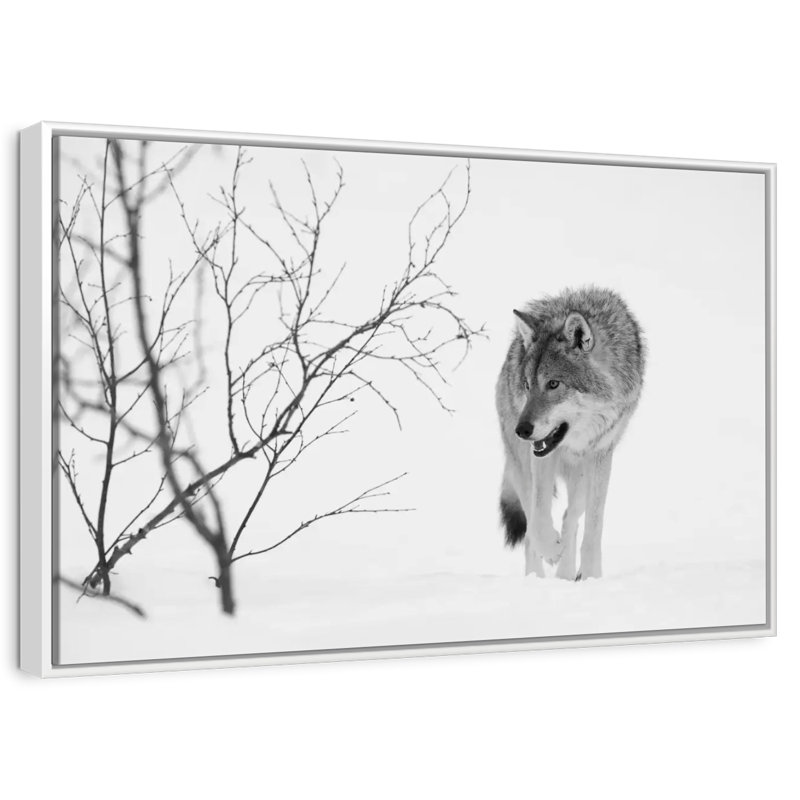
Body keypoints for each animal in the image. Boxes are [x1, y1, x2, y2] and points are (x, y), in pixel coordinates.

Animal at [495, 286, 645, 580]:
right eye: (527, 385)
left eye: (553, 384)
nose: (522, 430)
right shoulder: (540, 457)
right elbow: (539, 516)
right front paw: (551, 550)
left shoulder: (601, 454)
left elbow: (593, 528)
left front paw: (590, 576)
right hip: (521, 467)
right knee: (530, 532)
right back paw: (538, 576)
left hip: (583, 476)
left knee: (570, 518)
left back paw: (565, 574)